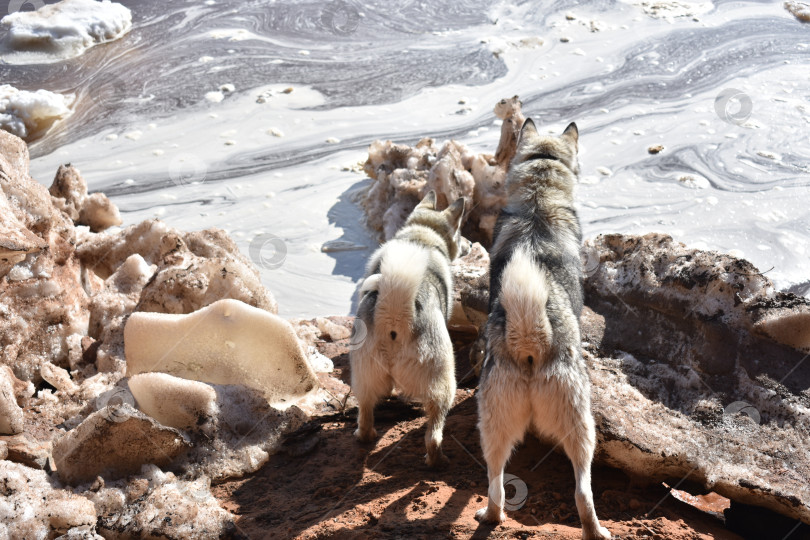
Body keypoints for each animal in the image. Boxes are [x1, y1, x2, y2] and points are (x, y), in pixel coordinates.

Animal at [350, 192, 464, 466]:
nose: (468, 245)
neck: (421, 235)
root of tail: (394, 315)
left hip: (363, 375)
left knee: (365, 411)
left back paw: (364, 435)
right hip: (444, 383)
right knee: (433, 433)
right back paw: (437, 461)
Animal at [474, 120, 608, 536]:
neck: (539, 199)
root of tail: (530, 342)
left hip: (493, 425)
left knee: (497, 483)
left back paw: (492, 516)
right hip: (582, 423)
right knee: (583, 490)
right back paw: (595, 530)